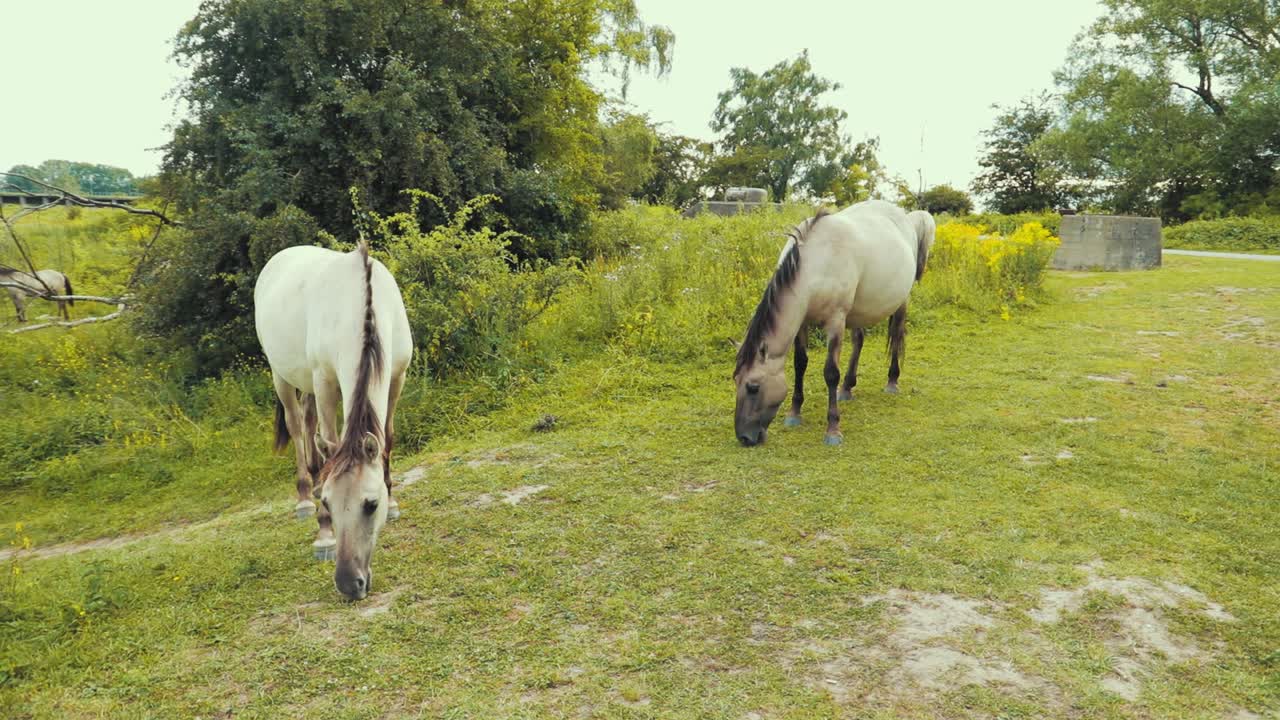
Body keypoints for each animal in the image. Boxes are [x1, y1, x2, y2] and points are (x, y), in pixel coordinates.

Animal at [254, 240, 413, 600]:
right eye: (330, 501)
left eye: (371, 504)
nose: (349, 583)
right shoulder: (325, 382)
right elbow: (325, 449)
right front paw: (324, 533)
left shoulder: (397, 377)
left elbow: (388, 441)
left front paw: (394, 501)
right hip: (283, 377)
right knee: (298, 429)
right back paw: (304, 498)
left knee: (308, 421)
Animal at [732, 200, 933, 447]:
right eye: (736, 381)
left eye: (753, 387)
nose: (744, 437)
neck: (816, 264)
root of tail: (906, 218)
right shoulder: (803, 323)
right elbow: (800, 364)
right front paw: (794, 413)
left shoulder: (836, 321)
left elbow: (830, 373)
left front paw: (833, 430)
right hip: (858, 311)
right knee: (859, 340)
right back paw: (847, 388)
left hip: (900, 301)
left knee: (896, 335)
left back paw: (892, 381)